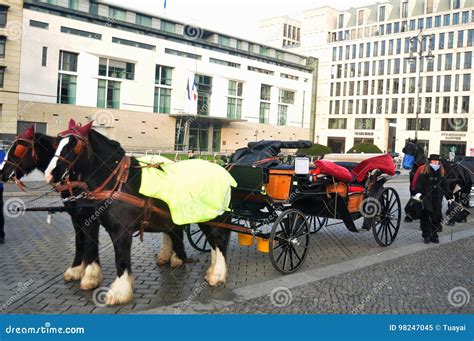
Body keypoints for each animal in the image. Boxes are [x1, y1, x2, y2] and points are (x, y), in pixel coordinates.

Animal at [0, 126, 103, 288]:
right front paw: (76, 270)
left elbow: (90, 241)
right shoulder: (76, 215)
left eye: (19, 148)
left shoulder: (89, 215)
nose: (1, 171)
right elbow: (79, 240)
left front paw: (91, 276)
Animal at [45, 121, 231, 304]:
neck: (118, 183)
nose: (49, 174)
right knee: (212, 242)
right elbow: (88, 245)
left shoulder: (120, 230)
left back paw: (217, 275)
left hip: (212, 217)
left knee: (219, 242)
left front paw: (119, 292)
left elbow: (120, 258)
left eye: (73, 146)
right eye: (57, 143)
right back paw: (209, 270)